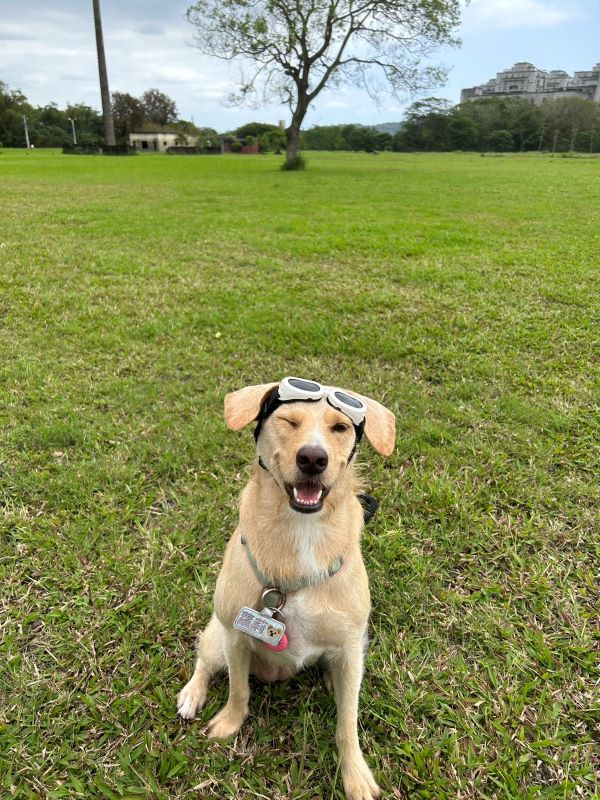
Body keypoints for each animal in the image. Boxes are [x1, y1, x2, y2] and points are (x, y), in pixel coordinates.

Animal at [176, 376, 396, 800]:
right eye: (289, 421)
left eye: (339, 428)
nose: (313, 458)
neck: (302, 532)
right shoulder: (235, 636)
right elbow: (238, 691)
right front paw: (229, 723)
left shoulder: (350, 648)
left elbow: (348, 722)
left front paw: (355, 774)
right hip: (216, 636)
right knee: (205, 662)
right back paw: (193, 694)